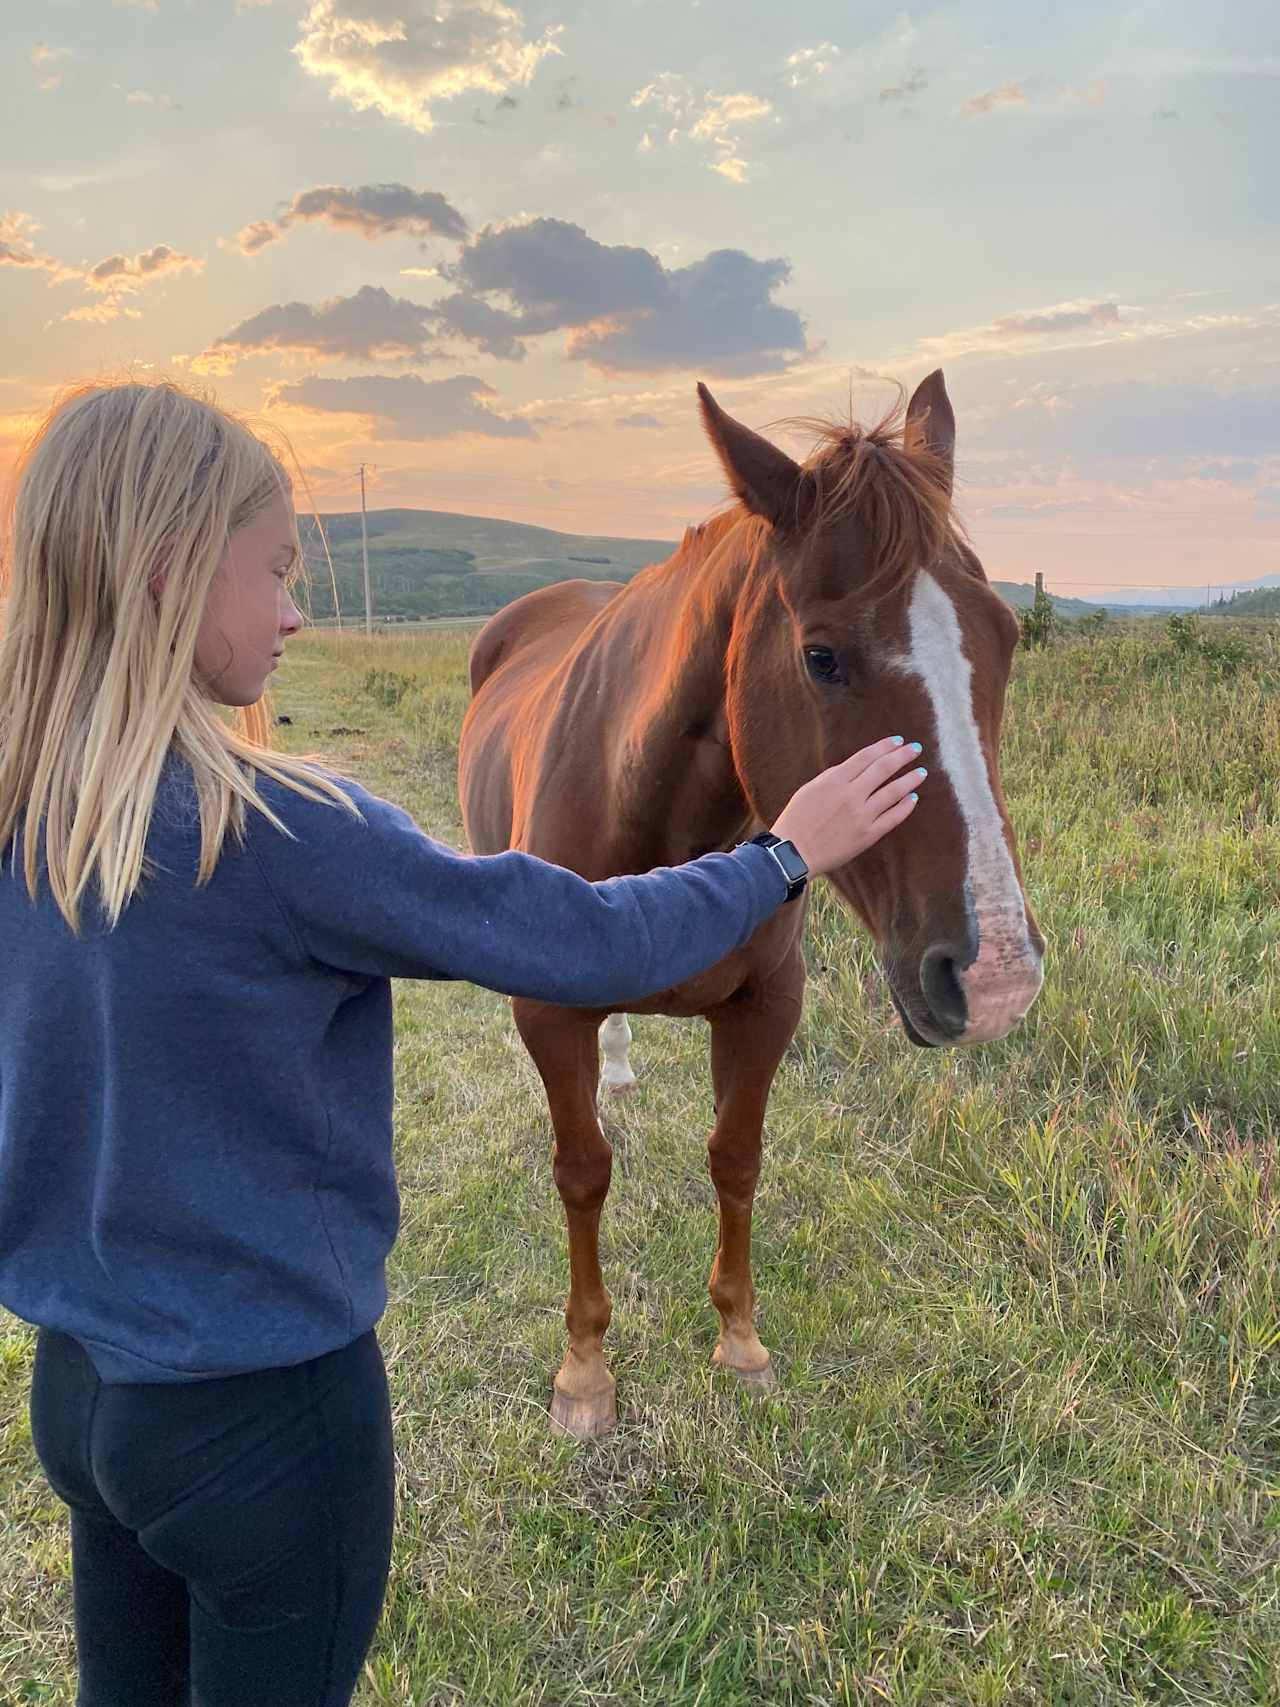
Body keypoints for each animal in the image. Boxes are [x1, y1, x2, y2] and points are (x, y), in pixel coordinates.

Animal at [457, 373, 1044, 1440]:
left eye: (1005, 636)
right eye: (822, 657)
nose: (996, 979)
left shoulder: (768, 1003)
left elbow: (736, 1156)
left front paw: (739, 1339)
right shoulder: (549, 1012)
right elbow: (582, 1170)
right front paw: (585, 1369)